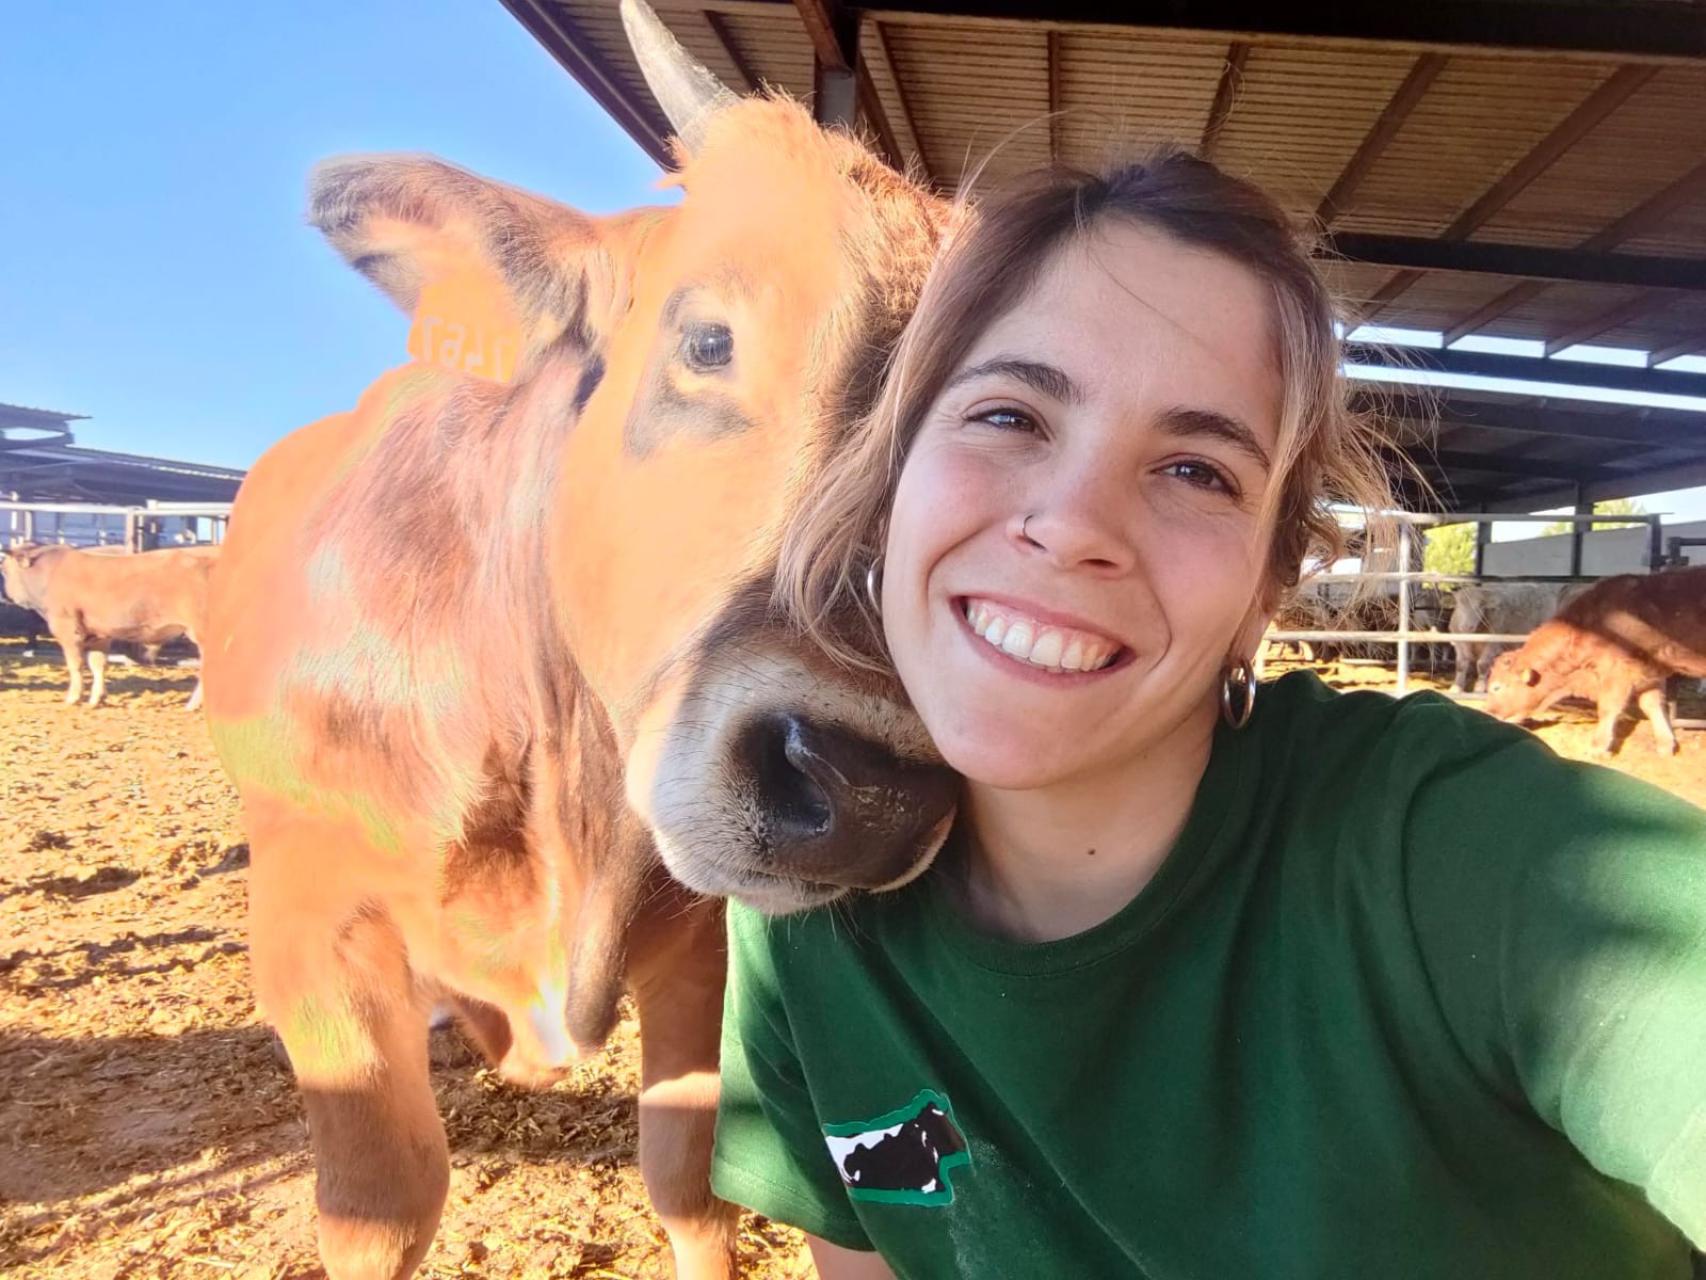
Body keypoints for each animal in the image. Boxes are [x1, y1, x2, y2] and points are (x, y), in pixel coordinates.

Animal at [0, 542, 220, 713]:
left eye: (4, 569)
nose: (5, 595)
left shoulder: (67, 627)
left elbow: (75, 664)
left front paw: (73, 697)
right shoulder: (99, 634)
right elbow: (98, 664)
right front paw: (97, 698)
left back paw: (193, 705)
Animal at [199, 5, 962, 1276]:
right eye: (706, 340)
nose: (870, 791)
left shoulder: (703, 943)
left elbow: (688, 1175)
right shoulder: (315, 924)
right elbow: (379, 1205)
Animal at [1480, 566, 1706, 757]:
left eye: (1497, 687)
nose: (1488, 713)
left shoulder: (1617, 671)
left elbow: (1608, 707)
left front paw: (1598, 746)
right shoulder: (1648, 671)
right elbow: (1652, 705)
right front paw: (1665, 744)